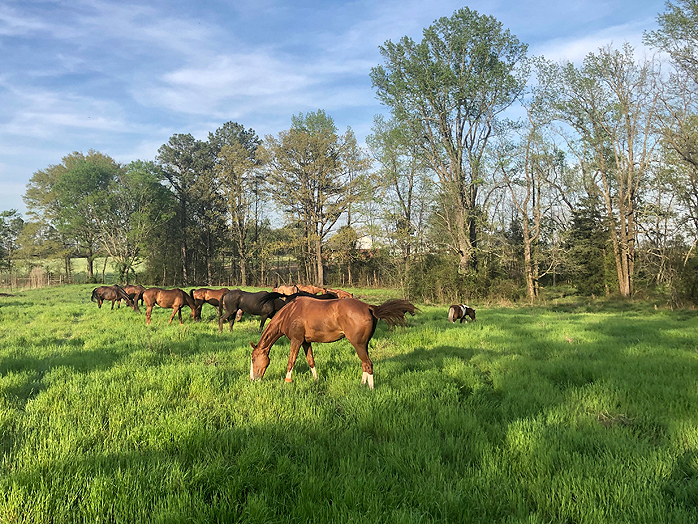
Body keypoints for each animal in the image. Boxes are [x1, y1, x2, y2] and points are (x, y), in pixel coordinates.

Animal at [250, 297, 418, 389]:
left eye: (253, 359)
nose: (253, 379)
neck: (290, 312)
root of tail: (369, 307)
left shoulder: (296, 341)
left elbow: (291, 362)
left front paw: (287, 382)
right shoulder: (306, 343)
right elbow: (311, 361)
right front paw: (316, 380)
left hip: (358, 345)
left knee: (368, 364)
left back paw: (370, 388)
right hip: (363, 345)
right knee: (364, 364)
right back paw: (362, 384)